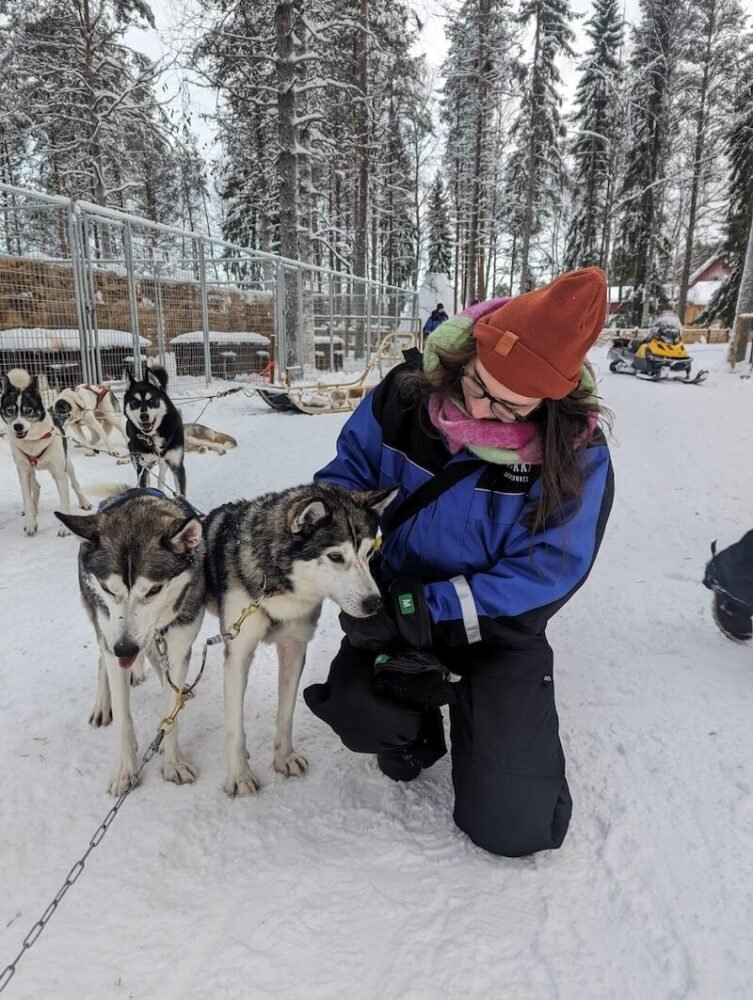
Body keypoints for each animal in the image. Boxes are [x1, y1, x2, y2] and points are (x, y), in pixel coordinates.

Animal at [0, 372, 91, 536]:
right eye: (10, 411)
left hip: (68, 465)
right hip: (29, 470)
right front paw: (30, 522)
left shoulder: (59, 473)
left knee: (75, 483)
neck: (33, 441)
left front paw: (64, 528)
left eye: (28, 411)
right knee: (35, 487)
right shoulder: (23, 472)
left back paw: (84, 502)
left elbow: (65, 501)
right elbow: (27, 500)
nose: (18, 426)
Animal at [55, 488, 206, 792]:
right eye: (108, 589)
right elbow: (124, 717)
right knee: (104, 659)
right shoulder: (113, 637)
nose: (124, 649)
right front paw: (125, 769)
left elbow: (170, 709)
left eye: (154, 590)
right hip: (102, 624)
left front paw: (172, 762)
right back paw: (103, 704)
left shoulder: (177, 646)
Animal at [124, 366, 186, 494]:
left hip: (164, 462)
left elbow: (180, 493)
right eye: (134, 402)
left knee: (161, 478)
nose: (144, 416)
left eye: (152, 400)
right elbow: (144, 486)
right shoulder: (143, 468)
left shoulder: (177, 465)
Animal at [203, 482, 396, 796]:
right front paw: (240, 776)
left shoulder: (295, 647)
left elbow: (286, 713)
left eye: (369, 553)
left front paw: (284, 758)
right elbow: (234, 726)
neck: (276, 582)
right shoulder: (238, 654)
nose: (374, 604)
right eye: (335, 557)